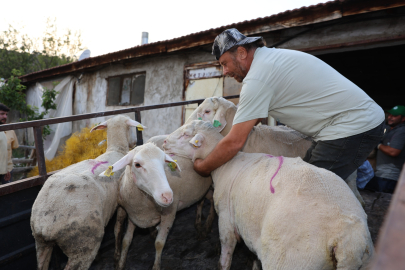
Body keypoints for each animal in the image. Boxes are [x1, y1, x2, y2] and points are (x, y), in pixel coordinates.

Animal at [30, 115, 147, 270]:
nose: (134, 142)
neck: (116, 149)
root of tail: (46, 223)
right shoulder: (121, 203)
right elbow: (118, 229)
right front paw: (117, 258)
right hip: (84, 244)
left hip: (41, 244)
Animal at [110, 136, 211, 270]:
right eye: (137, 164)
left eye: (164, 163)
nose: (167, 196)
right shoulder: (132, 214)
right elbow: (126, 240)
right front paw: (120, 263)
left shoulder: (169, 213)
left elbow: (159, 243)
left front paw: (156, 266)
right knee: (201, 201)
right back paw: (199, 223)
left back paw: (207, 225)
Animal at [163, 121, 374, 270]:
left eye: (186, 135)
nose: (164, 142)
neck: (226, 164)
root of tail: (348, 238)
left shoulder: (226, 219)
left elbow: (225, 258)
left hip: (291, 259)